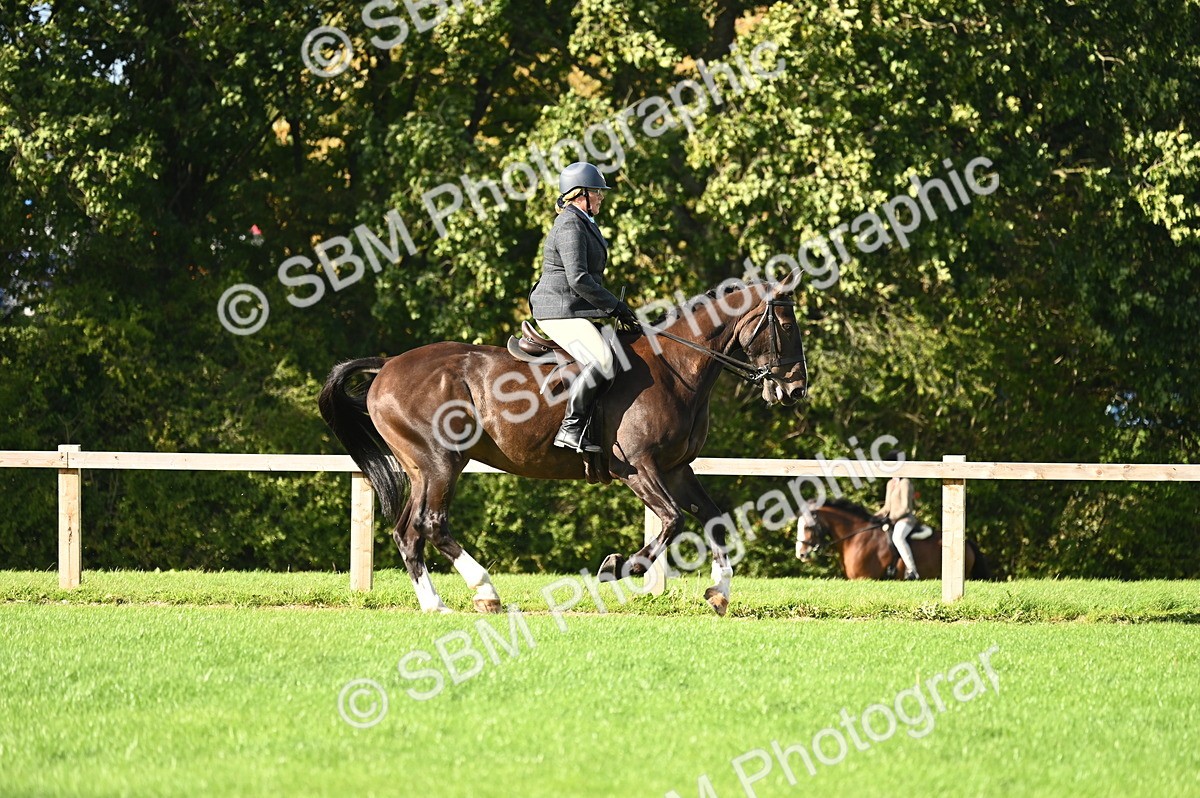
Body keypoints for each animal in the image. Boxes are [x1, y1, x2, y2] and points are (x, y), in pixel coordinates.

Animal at [319, 278, 808, 616]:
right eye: (785, 326)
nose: (796, 390)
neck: (675, 369)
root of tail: (387, 365)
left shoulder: (676, 469)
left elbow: (714, 521)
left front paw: (720, 593)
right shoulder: (637, 468)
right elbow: (672, 521)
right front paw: (619, 566)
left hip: (423, 469)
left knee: (409, 532)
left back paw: (434, 604)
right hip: (441, 463)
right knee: (432, 524)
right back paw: (485, 591)